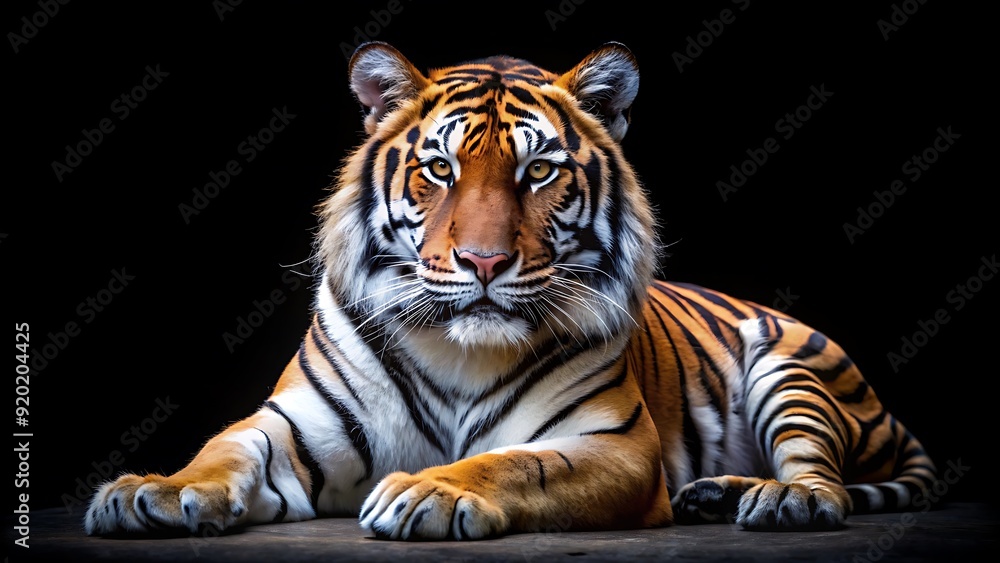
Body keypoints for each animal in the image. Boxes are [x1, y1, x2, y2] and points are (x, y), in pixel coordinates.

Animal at [84, 41, 937, 540]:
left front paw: (426, 492)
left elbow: (514, 462)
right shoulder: (296, 424)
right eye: (439, 169)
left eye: (539, 170)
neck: (459, 352)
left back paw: (780, 500)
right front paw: (151, 491)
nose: (485, 261)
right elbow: (223, 446)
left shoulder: (612, 444)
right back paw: (716, 496)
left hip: (793, 375)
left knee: (825, 479)